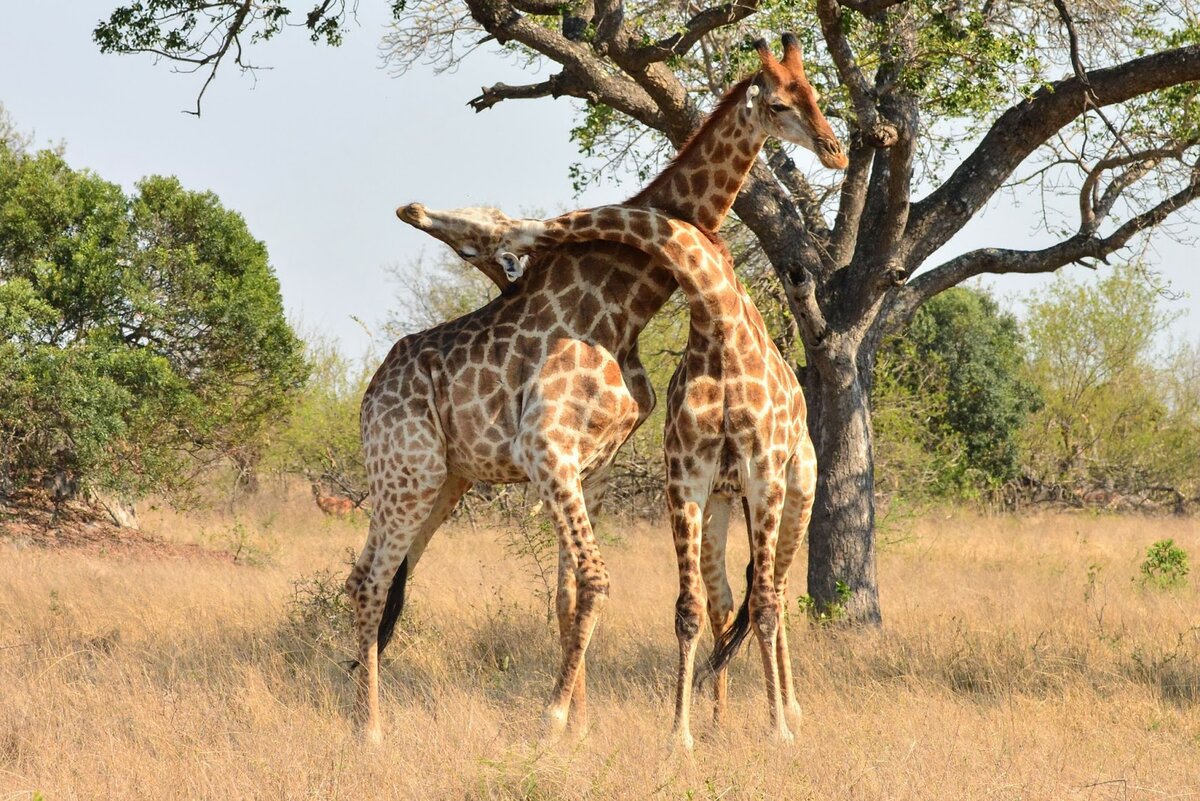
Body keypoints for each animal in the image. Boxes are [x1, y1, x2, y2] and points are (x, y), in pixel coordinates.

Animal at [403, 205, 816, 743]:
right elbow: (688, 609)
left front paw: (777, 733)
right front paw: (679, 738)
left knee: (776, 592)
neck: (722, 329)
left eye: (472, 238)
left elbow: (764, 604)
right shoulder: (686, 476)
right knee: (726, 598)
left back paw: (790, 713)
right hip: (723, 500)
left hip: (795, 488)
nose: (411, 210)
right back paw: (719, 721)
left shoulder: (762, 472)